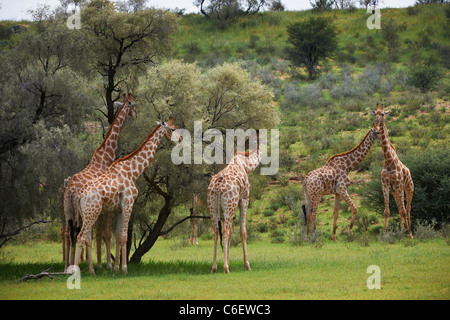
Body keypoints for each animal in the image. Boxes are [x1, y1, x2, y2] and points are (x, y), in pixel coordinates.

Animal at [62, 94, 137, 272]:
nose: (136, 114)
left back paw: (67, 267)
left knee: (69, 234)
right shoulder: (106, 209)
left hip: (67, 210)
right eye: (133, 104)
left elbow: (98, 234)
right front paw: (107, 265)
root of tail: (70, 190)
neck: (104, 157)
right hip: (81, 211)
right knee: (79, 234)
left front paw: (102, 264)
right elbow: (105, 233)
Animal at [74, 117, 181, 276]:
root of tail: (80, 196)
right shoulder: (128, 204)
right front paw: (124, 269)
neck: (133, 172)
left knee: (86, 238)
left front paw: (116, 268)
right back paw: (75, 271)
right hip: (92, 212)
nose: (180, 139)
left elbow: (118, 236)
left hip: (86, 213)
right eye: (172, 129)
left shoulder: (119, 209)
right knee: (80, 237)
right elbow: (124, 237)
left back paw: (91, 270)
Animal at [206, 130, 262, 272]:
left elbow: (231, 232)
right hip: (229, 204)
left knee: (216, 231)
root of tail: (217, 188)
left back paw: (214, 267)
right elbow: (242, 232)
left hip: (212, 205)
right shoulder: (244, 199)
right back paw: (226, 268)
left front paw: (228, 260)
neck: (247, 165)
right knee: (224, 231)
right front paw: (247, 265)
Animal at [370, 104, 414, 239]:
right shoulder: (385, 185)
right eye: (375, 113)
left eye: (383, 114)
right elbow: (386, 211)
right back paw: (402, 231)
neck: (389, 162)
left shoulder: (399, 185)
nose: (376, 122)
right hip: (395, 192)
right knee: (400, 209)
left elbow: (404, 211)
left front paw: (408, 235)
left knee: (407, 209)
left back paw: (409, 232)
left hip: (408, 189)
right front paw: (385, 234)